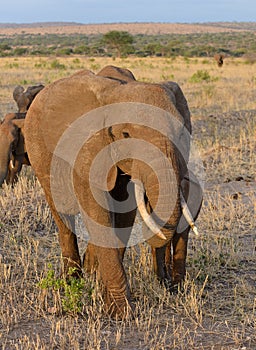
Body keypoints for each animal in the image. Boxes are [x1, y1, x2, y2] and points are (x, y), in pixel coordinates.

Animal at [25, 65, 203, 318]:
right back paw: (72, 280)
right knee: (62, 216)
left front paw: (106, 294)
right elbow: (97, 211)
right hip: (37, 151)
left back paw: (91, 273)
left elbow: (123, 214)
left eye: (181, 133)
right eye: (126, 135)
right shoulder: (86, 150)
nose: (168, 284)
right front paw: (121, 312)